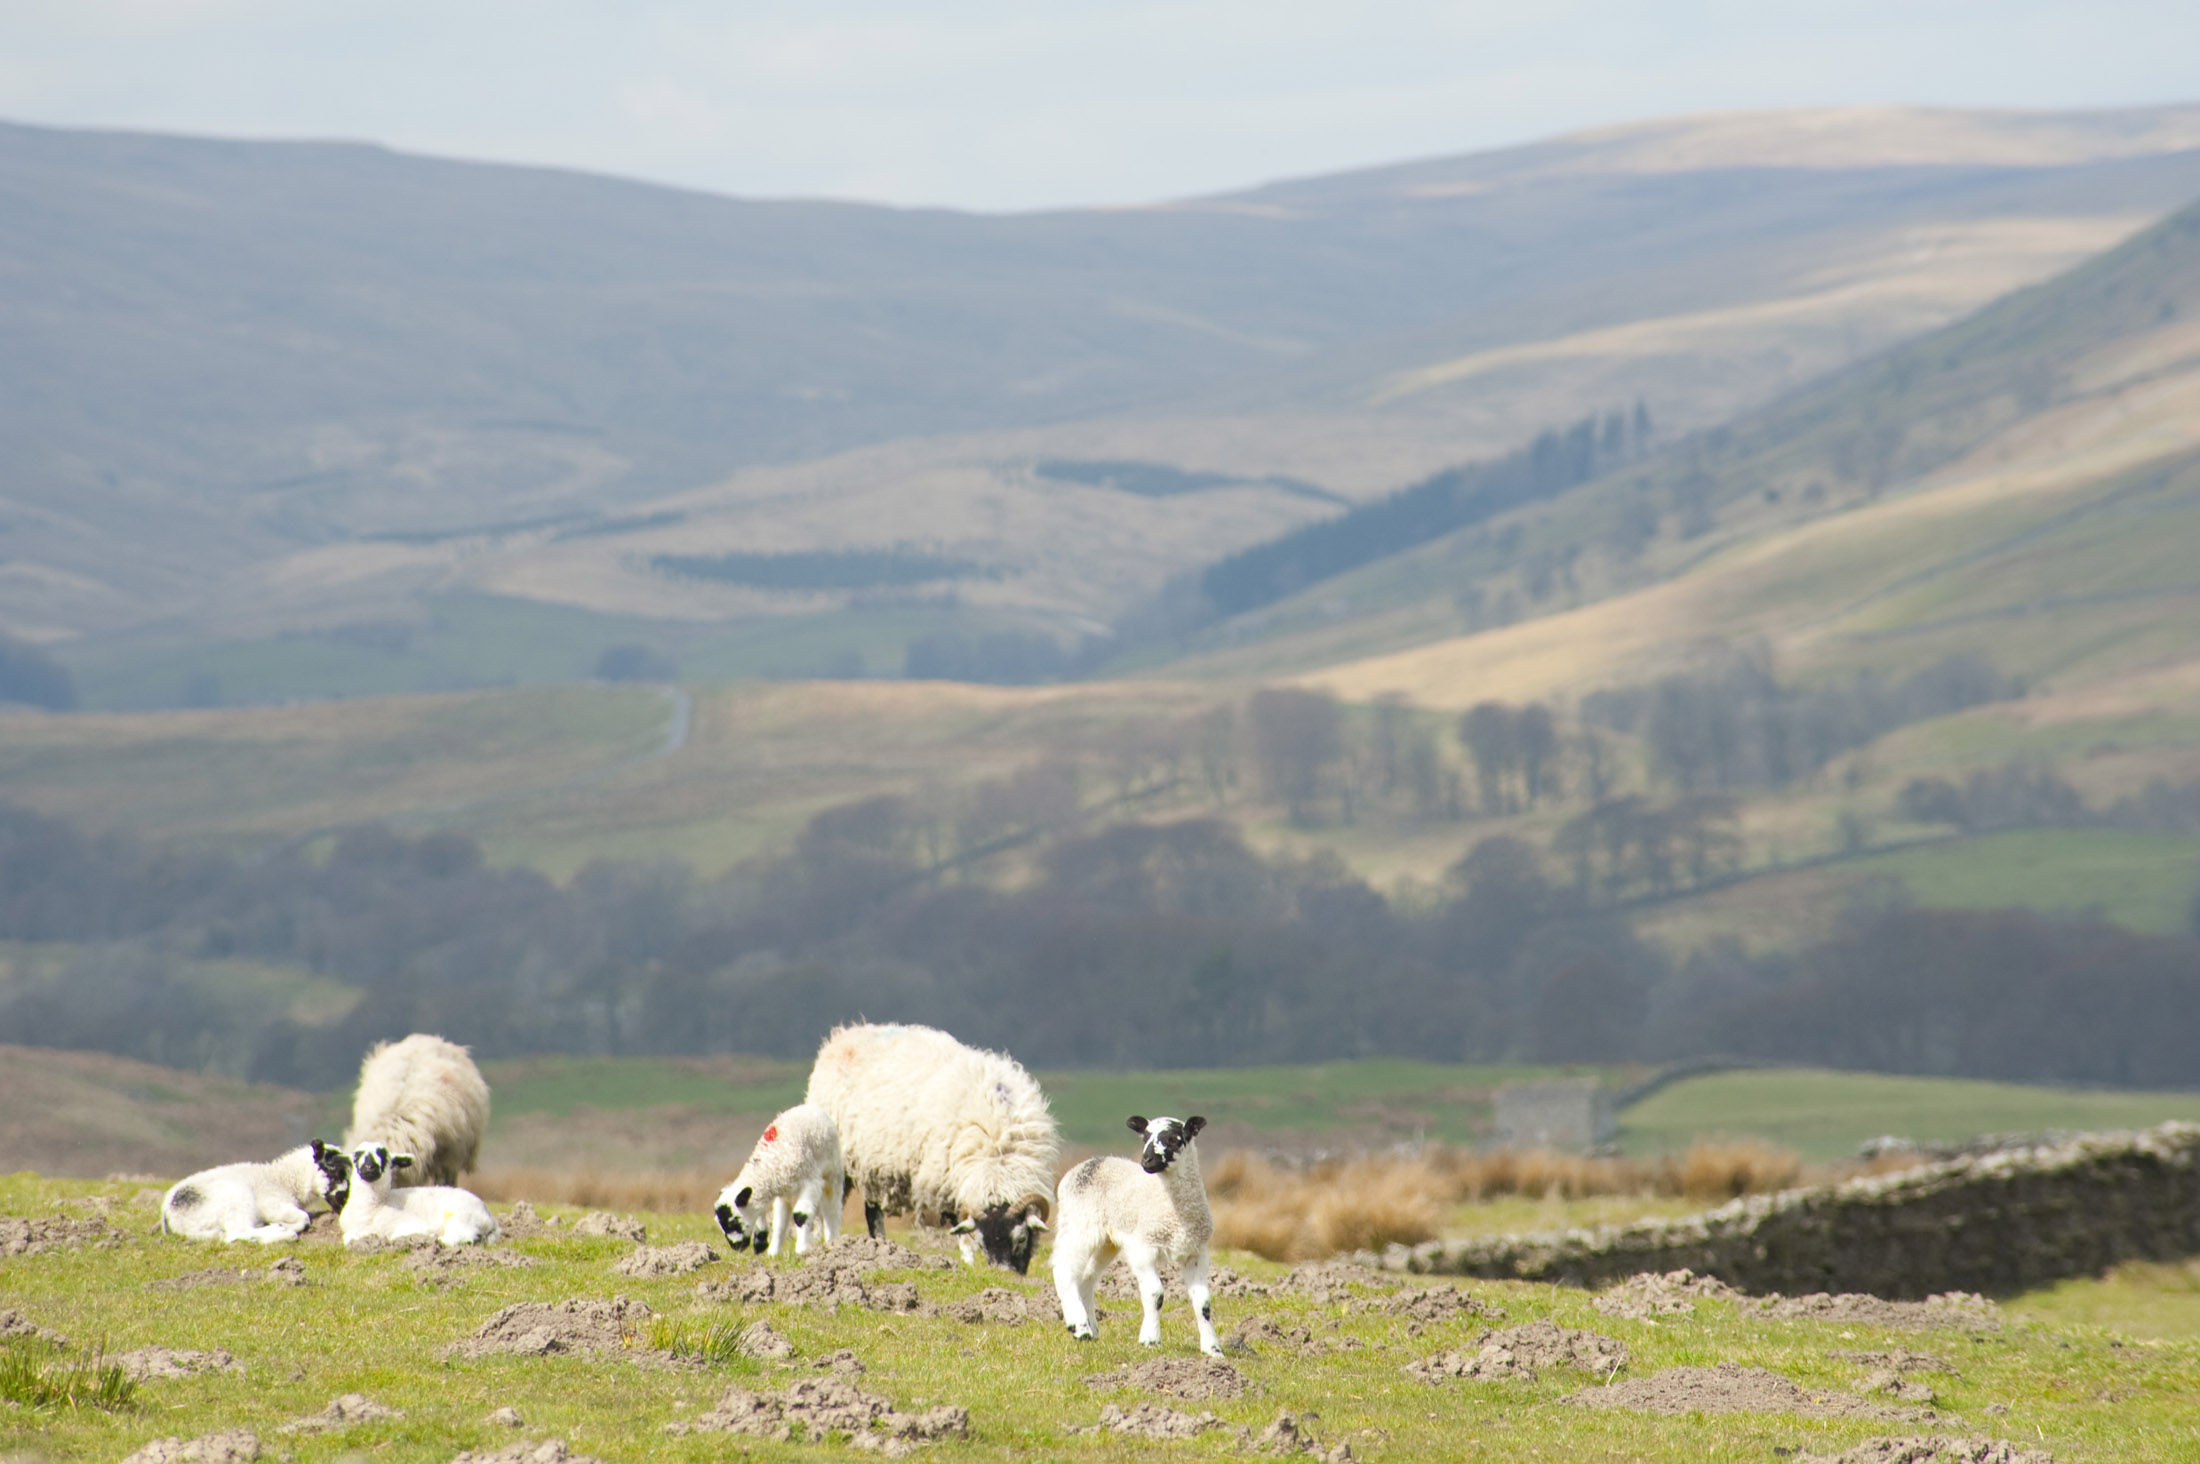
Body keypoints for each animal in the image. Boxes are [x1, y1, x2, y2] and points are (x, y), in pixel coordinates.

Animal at [160, 1140, 352, 1244]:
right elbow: (305, 1217)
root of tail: (170, 1217)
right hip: (235, 1198)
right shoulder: (273, 1204)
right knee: (237, 1234)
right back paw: (282, 1233)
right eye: (334, 1171)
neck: (284, 1179)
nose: (345, 1203)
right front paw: (284, 1225)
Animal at [337, 1143, 499, 1247]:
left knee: (463, 1234)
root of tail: (489, 1216)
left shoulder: (412, 1224)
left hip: (463, 1216)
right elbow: (347, 1237)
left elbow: (396, 1235)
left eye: (384, 1156)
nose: (370, 1167)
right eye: (356, 1156)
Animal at [712, 1103, 844, 1258]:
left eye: (733, 1222)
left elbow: (801, 1216)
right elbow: (777, 1222)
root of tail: (808, 1106)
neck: (769, 1166)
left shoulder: (810, 1182)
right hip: (788, 1193)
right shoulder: (779, 1191)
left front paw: (802, 1249)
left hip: (832, 1173)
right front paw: (770, 1249)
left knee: (832, 1207)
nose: (735, 1246)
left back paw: (833, 1240)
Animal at [804, 1022, 1058, 1273]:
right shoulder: (945, 1182)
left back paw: (880, 1245)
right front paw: (967, 1264)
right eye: (982, 1243)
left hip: (872, 1164)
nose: (1004, 1276)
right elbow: (959, 1227)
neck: (996, 1153)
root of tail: (843, 1036)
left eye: (1021, 1239)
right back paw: (827, 1246)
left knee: (872, 1211)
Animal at [1052, 1115, 1222, 1357]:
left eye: (1174, 1138)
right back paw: (1079, 1326)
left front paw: (1213, 1349)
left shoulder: (1196, 1252)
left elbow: (1203, 1303)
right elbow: (1156, 1293)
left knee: (1087, 1278)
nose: (1147, 1160)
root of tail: (1089, 1163)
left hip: (1107, 1241)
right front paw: (1150, 1339)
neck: (1175, 1214)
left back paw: (1091, 1329)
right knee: (1064, 1270)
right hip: (1079, 1225)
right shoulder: (1143, 1247)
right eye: (1145, 1137)